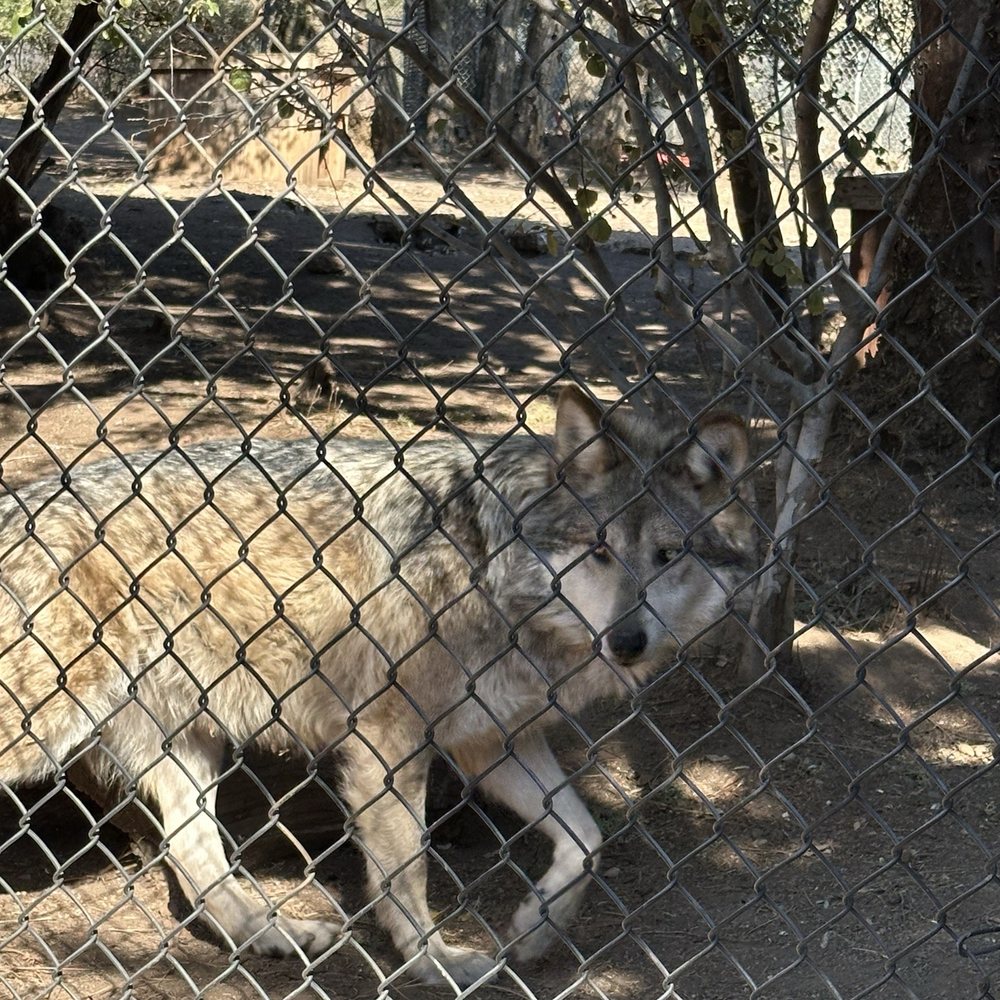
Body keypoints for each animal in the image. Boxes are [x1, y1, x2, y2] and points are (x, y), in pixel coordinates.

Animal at [0, 384, 752, 985]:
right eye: (599, 550)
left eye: (668, 554)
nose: (627, 643)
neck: (491, 568)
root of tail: (21, 501)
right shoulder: (387, 745)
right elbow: (408, 868)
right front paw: (434, 963)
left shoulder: (490, 742)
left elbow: (588, 841)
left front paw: (536, 926)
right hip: (43, 731)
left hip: (188, 743)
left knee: (194, 857)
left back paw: (276, 936)